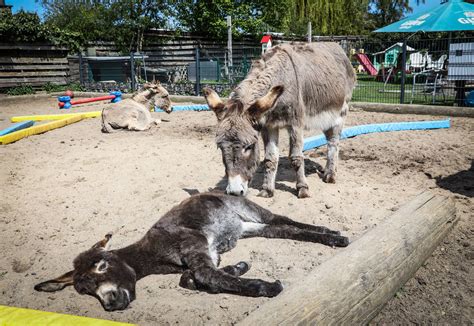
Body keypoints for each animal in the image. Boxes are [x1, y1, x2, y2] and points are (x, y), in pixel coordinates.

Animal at [35, 192, 348, 312]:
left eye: (102, 265)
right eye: (84, 290)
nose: (110, 303)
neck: (153, 251)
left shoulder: (195, 248)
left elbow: (208, 277)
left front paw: (268, 287)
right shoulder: (204, 255)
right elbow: (191, 279)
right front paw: (238, 268)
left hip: (251, 210)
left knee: (283, 219)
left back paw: (335, 236)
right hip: (249, 227)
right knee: (285, 229)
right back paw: (332, 237)